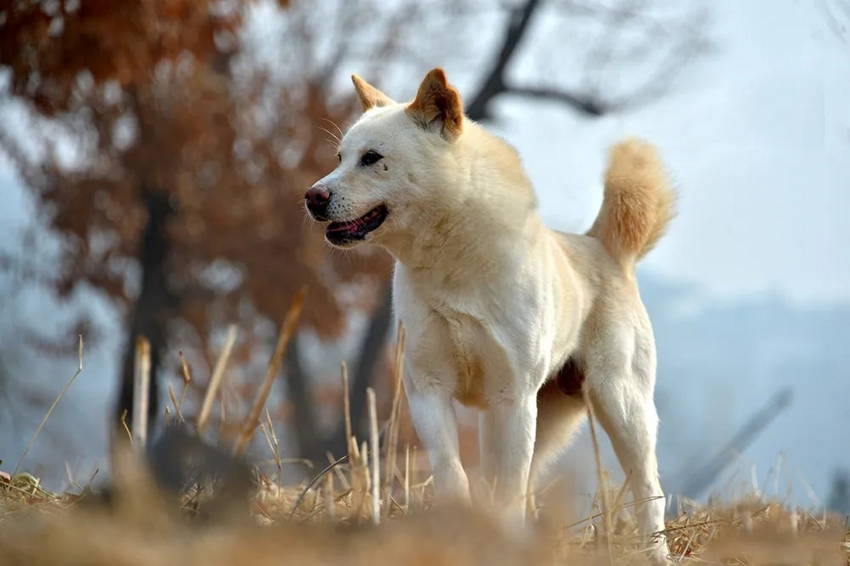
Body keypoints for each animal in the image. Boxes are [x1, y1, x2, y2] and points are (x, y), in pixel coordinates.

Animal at [304, 67, 676, 564]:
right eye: (339, 157)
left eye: (372, 158)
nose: (312, 196)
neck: (451, 266)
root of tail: (605, 248)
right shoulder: (428, 391)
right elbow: (454, 474)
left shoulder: (511, 399)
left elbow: (507, 488)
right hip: (541, 420)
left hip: (620, 405)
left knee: (648, 490)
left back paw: (655, 553)